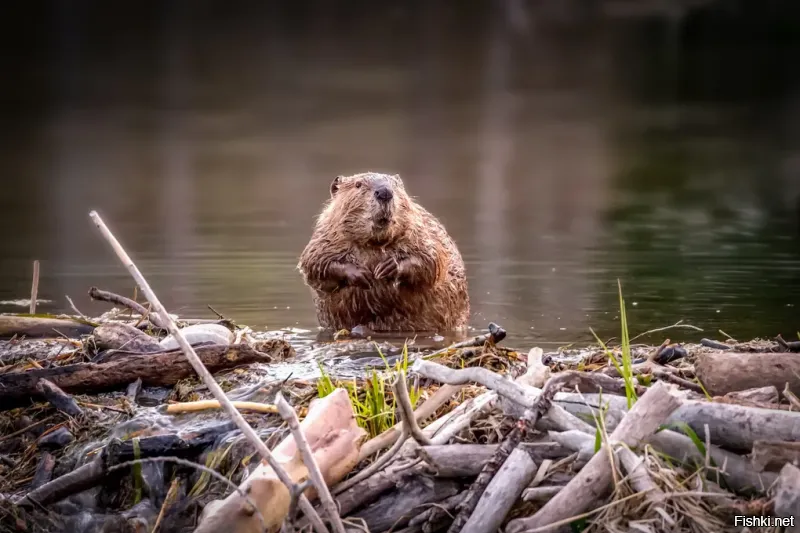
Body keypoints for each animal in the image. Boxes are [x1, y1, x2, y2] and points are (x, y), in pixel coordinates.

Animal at [296, 171, 472, 332]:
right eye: (358, 184)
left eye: (395, 184)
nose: (384, 192)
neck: (374, 243)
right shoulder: (325, 237)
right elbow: (315, 264)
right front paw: (362, 274)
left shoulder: (421, 231)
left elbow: (431, 260)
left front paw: (388, 268)